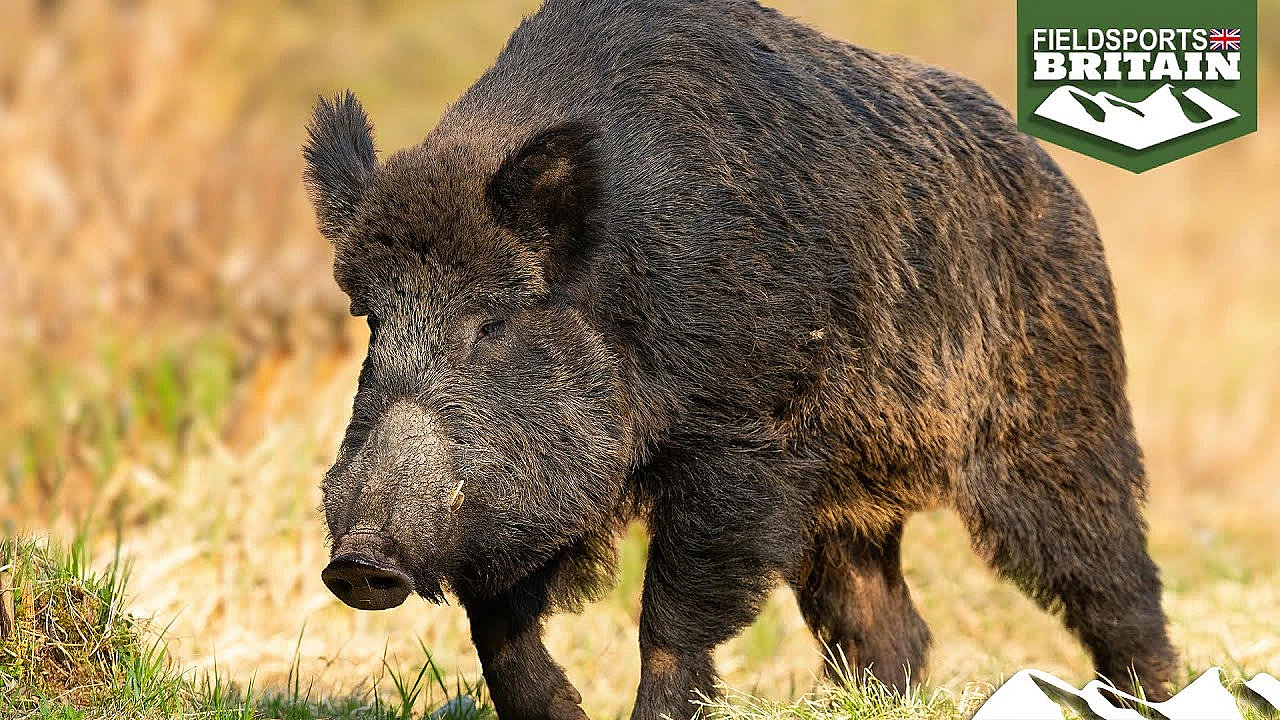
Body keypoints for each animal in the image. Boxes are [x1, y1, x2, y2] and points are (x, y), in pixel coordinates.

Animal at [303, 1, 1176, 718]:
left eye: (491, 323)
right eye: (370, 318)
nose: (358, 562)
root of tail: (1057, 182)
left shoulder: (741, 441)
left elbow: (670, 618)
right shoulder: (546, 490)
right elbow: (498, 621)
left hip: (1061, 424)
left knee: (1115, 581)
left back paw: (1152, 693)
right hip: (845, 504)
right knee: (885, 619)